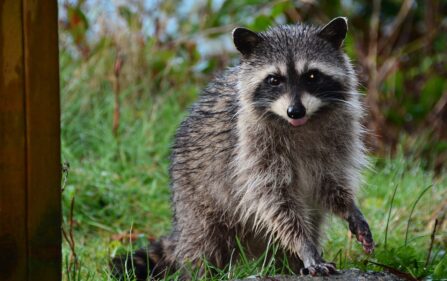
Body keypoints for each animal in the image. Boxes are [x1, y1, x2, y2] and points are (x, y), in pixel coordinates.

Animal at [112, 17, 374, 278]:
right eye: (273, 79)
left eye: (311, 76)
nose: (295, 111)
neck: (301, 124)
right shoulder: (251, 148)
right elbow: (275, 201)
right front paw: (304, 246)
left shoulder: (339, 137)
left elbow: (331, 183)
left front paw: (350, 208)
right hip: (195, 201)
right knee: (202, 245)